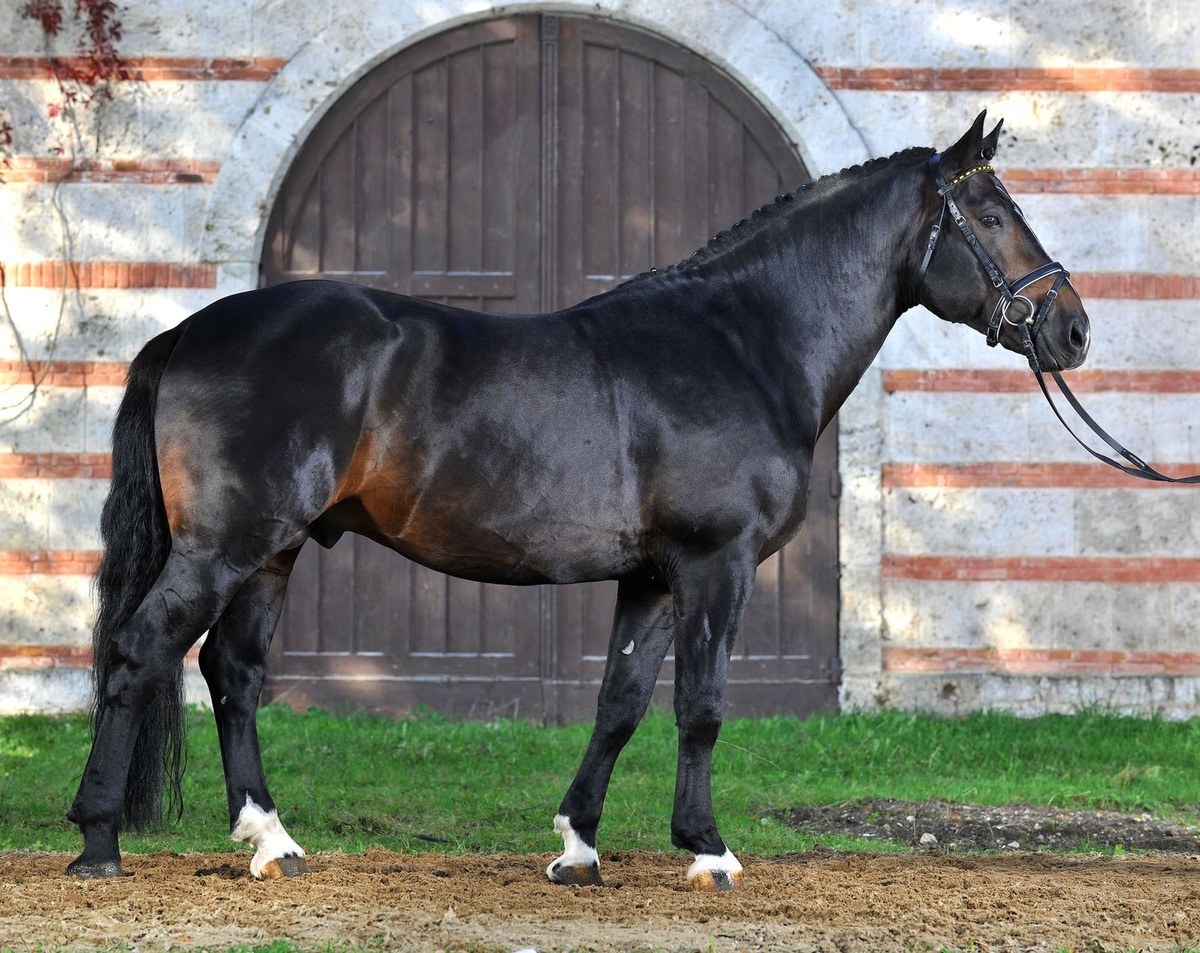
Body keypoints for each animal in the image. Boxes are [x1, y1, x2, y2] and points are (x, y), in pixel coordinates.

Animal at [70, 111, 1094, 883]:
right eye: (991, 213)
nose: (1074, 328)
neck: (741, 342)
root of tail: (189, 331)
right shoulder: (715, 564)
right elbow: (702, 704)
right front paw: (708, 849)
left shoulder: (651, 577)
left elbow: (621, 702)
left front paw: (578, 845)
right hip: (226, 545)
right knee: (141, 650)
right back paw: (99, 839)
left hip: (273, 549)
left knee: (232, 672)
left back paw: (272, 840)